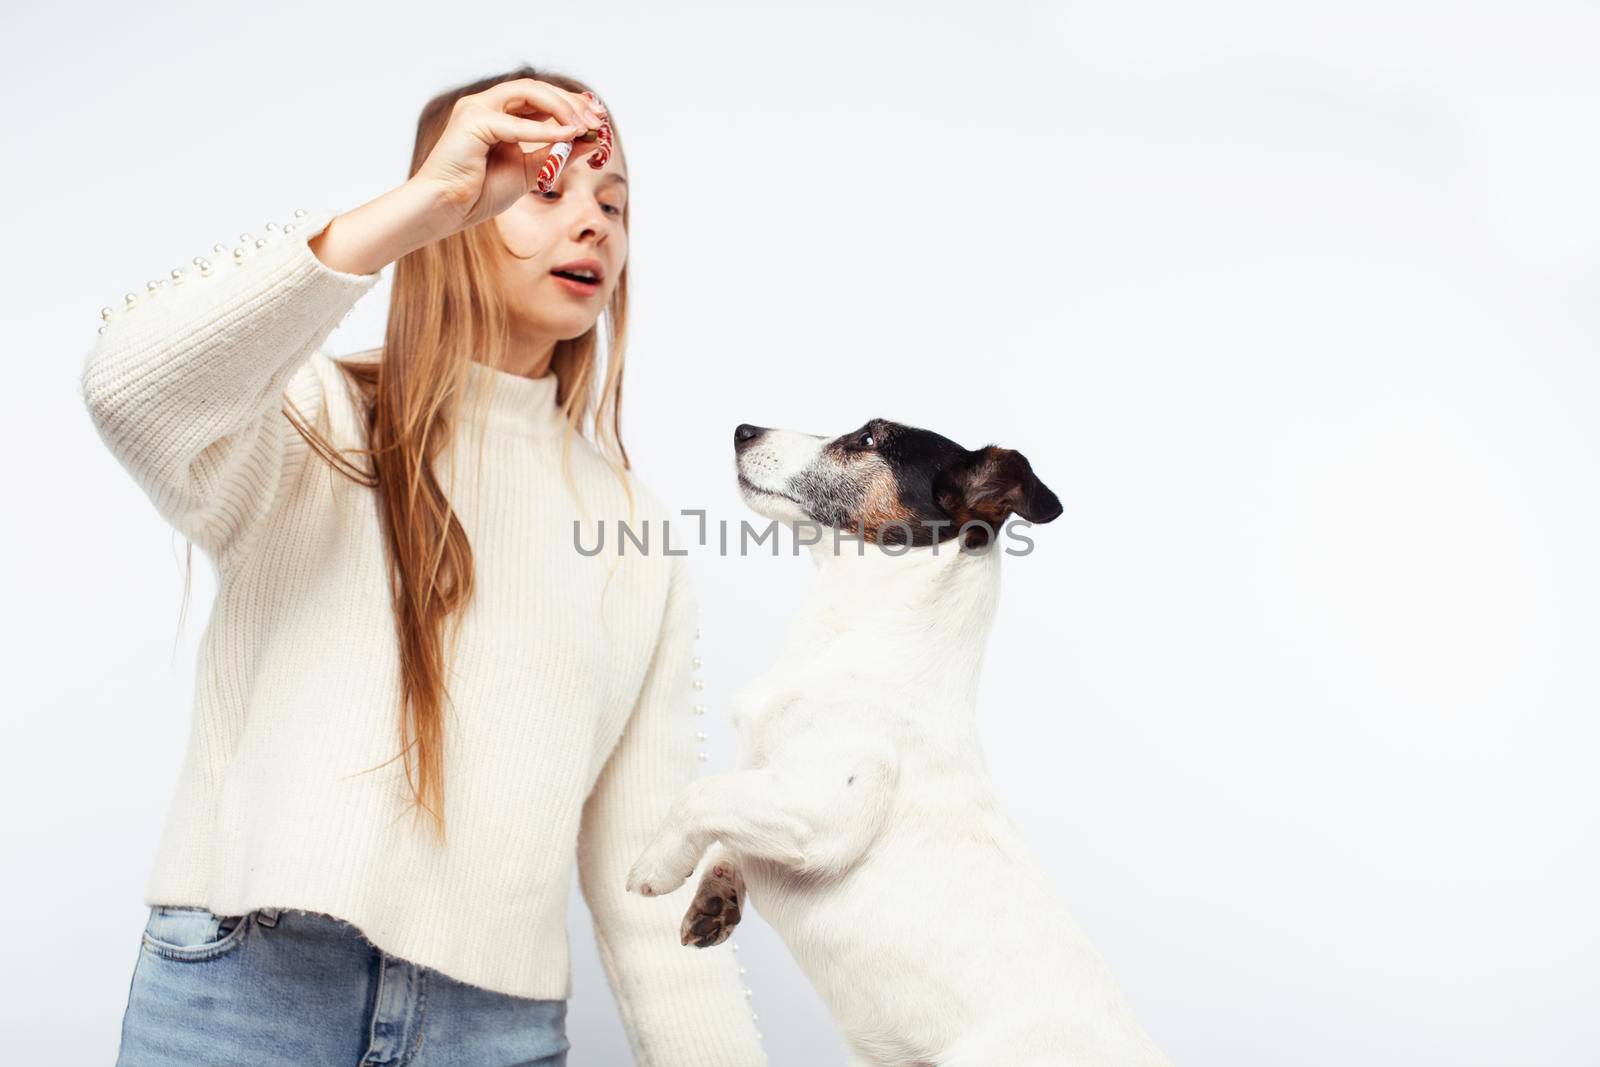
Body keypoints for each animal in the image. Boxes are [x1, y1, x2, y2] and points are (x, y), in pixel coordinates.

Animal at [627, 415, 1177, 1067]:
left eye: (868, 439)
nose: (742, 429)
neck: (868, 638)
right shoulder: (768, 785)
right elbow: (729, 818)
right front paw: (715, 893)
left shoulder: (823, 811)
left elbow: (703, 795)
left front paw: (658, 863)